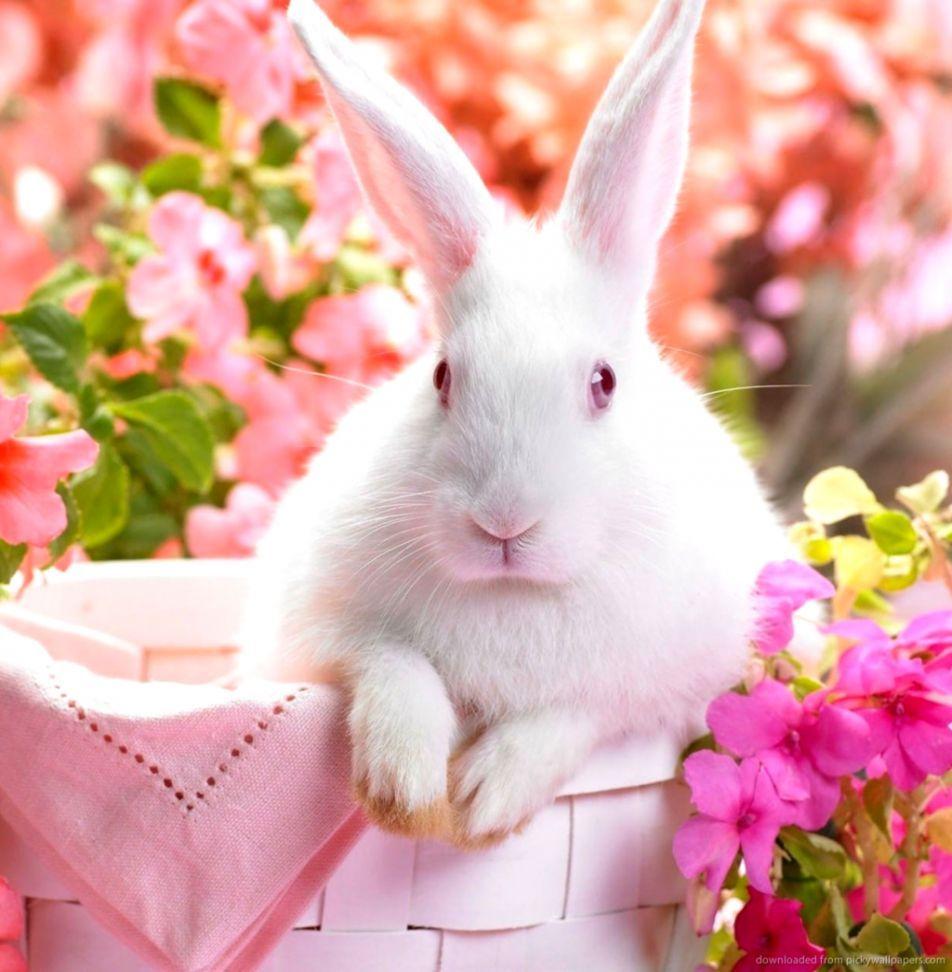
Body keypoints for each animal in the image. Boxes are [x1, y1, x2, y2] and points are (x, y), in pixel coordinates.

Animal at [242, 0, 791, 847]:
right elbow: (391, 664)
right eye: (442, 377)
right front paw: (405, 787)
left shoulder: (672, 681)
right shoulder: (313, 632)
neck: (515, 594)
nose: (503, 523)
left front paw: (484, 796)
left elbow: (576, 713)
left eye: (603, 383)